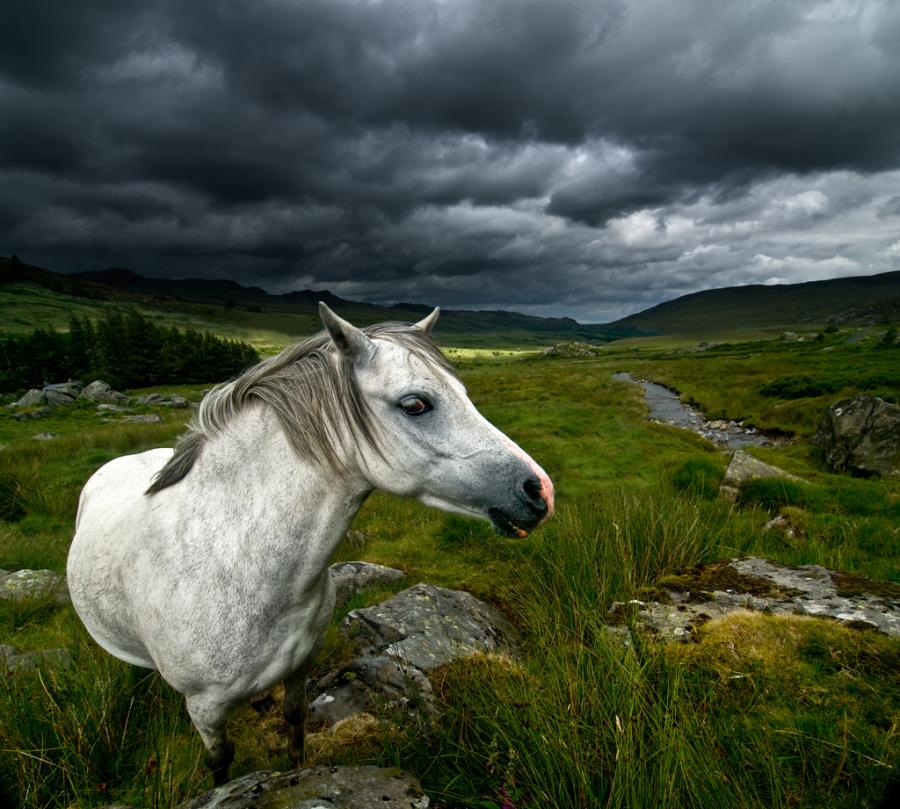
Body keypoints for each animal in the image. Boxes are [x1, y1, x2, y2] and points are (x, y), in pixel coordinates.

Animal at [67, 304, 552, 784]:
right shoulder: (204, 708)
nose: (540, 491)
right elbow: (221, 762)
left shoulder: (301, 664)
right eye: (415, 404)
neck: (236, 562)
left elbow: (295, 718)